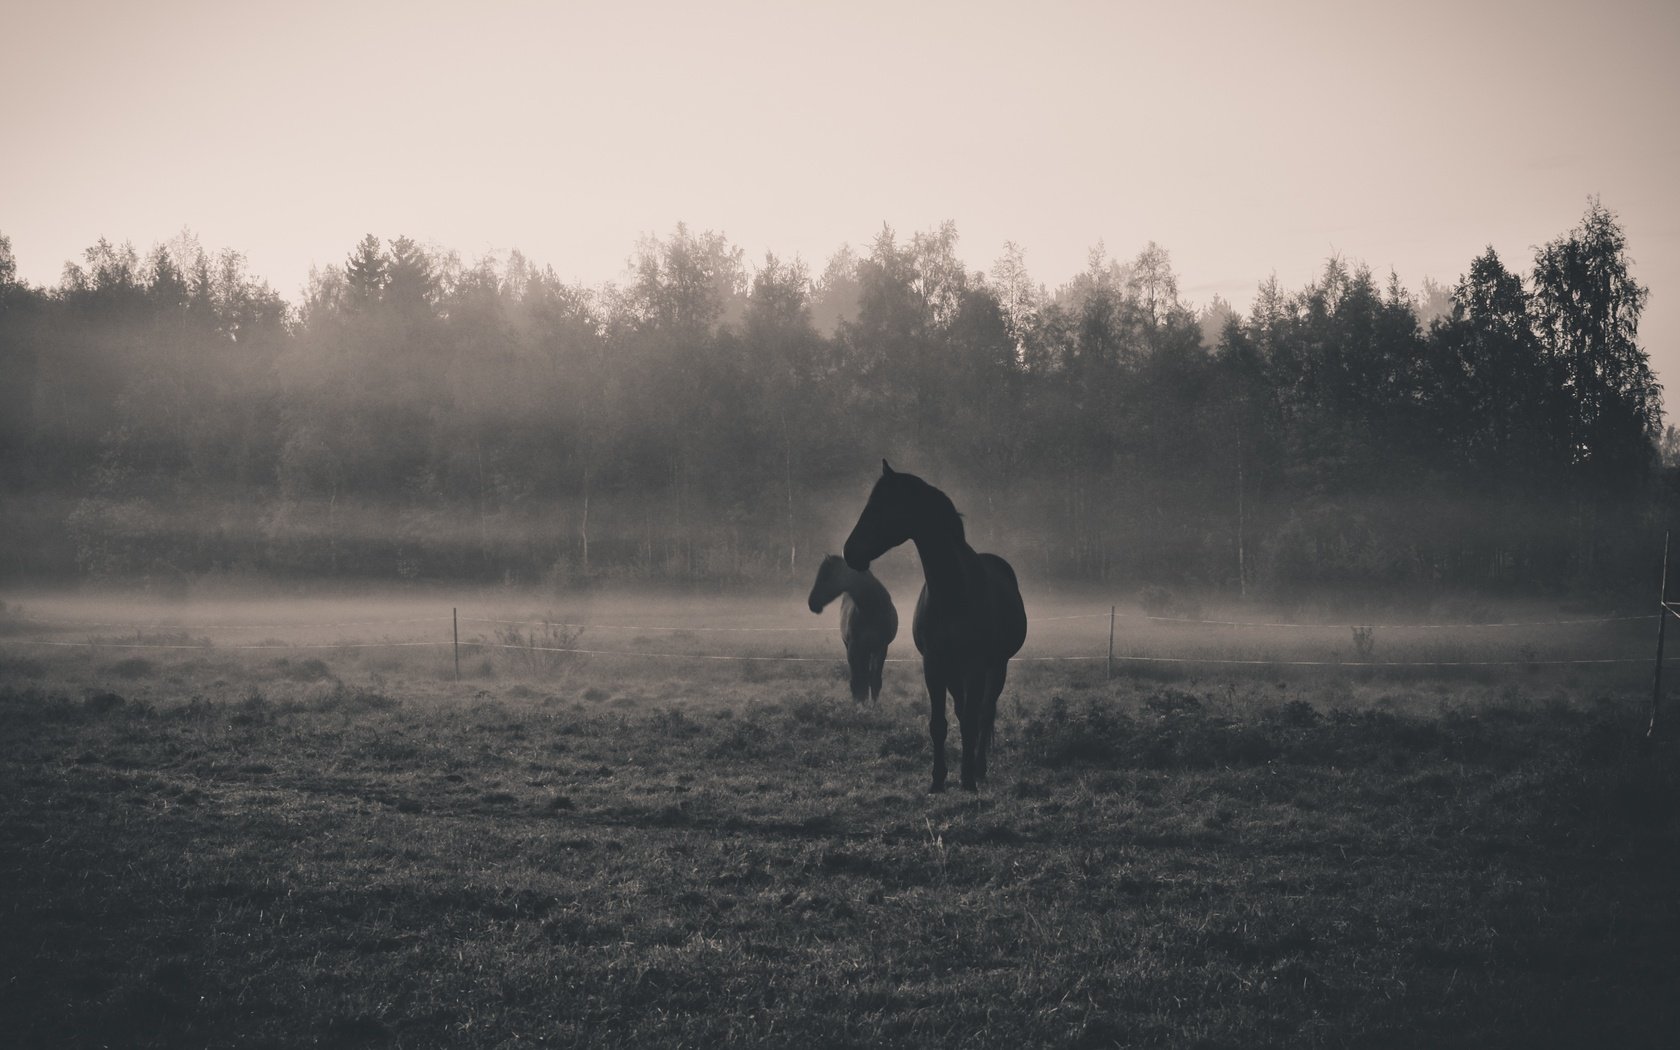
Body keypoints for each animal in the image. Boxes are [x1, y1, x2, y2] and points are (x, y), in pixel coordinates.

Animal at [806, 554, 900, 698]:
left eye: (826, 575)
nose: (812, 602)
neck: (871, 609)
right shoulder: (854, 647)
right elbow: (857, 683)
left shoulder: (881, 647)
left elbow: (874, 682)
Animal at [840, 456, 1021, 786]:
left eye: (880, 506)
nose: (850, 551)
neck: (953, 591)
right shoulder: (934, 664)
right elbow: (940, 723)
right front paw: (938, 779)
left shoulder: (976, 664)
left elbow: (972, 720)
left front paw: (968, 780)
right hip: (955, 670)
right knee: (966, 712)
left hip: (996, 666)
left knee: (984, 714)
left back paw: (979, 767)